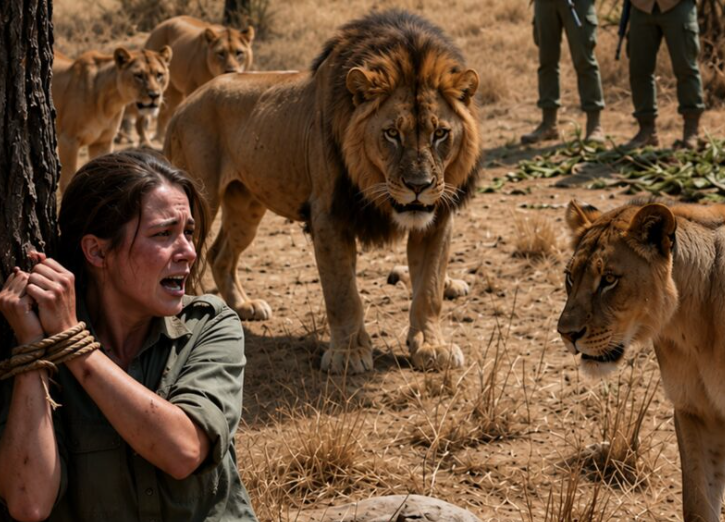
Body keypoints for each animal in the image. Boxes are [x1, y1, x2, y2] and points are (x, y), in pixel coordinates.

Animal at [52, 46, 171, 191]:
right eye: (138, 75)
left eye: (159, 75)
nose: (154, 95)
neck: (110, 103)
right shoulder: (68, 140)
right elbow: (67, 180)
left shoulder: (103, 142)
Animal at [125, 15, 255, 146]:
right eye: (220, 53)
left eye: (239, 53)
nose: (230, 70)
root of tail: (160, 25)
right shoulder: (192, 88)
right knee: (147, 116)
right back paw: (150, 141)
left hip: (175, 94)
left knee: (163, 114)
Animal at [164, 10, 481, 374]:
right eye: (391, 134)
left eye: (440, 133)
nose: (419, 186)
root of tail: (182, 105)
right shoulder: (329, 214)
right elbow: (343, 292)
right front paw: (349, 353)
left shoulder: (437, 217)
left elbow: (429, 289)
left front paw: (432, 346)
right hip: (200, 203)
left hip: (246, 205)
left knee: (220, 254)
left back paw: (244, 306)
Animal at [558, 198, 725, 522]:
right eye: (570, 277)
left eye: (609, 280)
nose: (566, 334)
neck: (691, 325)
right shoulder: (695, 412)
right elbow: (698, 505)